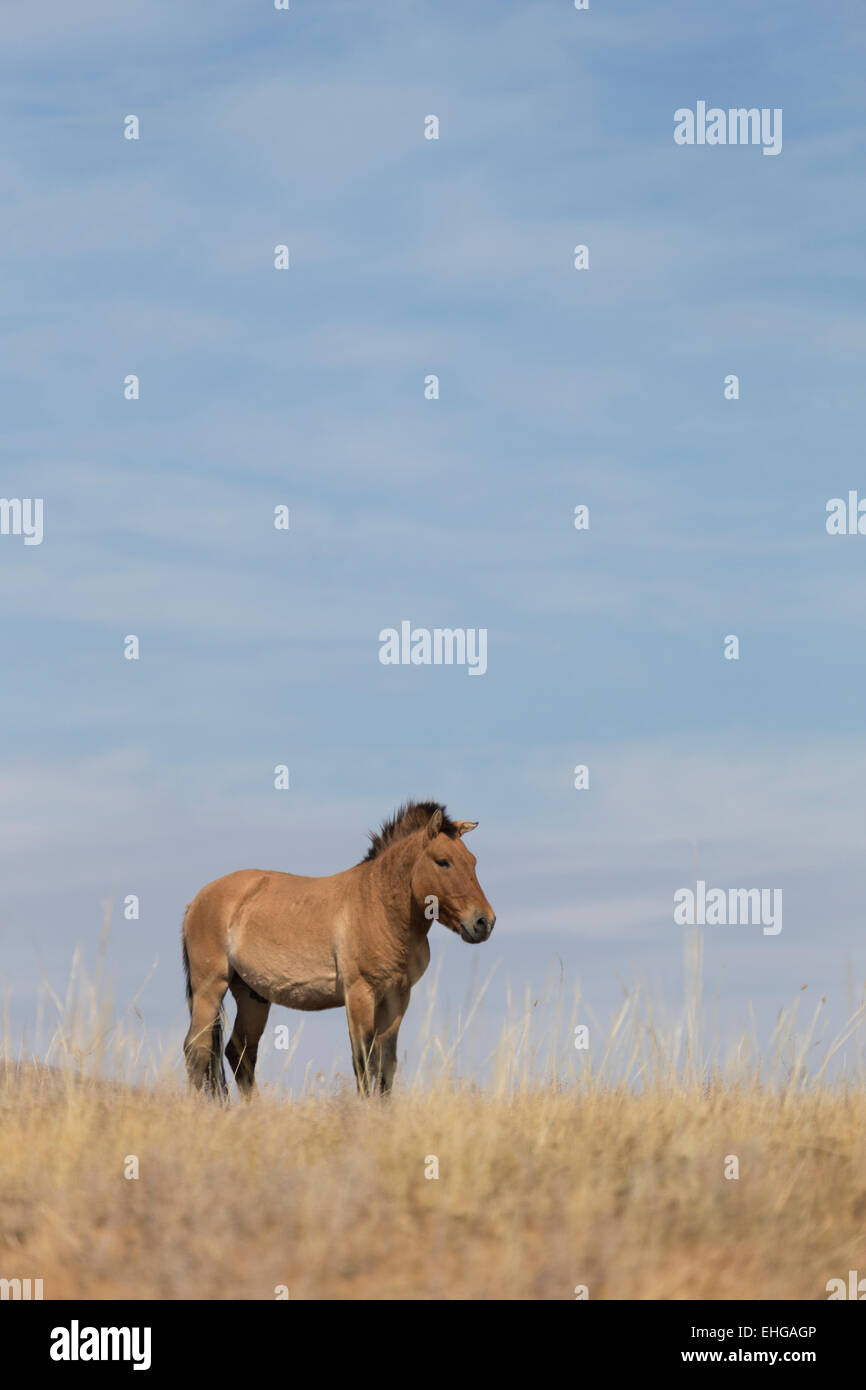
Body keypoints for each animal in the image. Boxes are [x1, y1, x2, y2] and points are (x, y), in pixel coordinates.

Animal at [180, 806, 494, 1095]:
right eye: (443, 862)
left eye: (473, 862)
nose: (484, 922)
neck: (379, 906)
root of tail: (197, 900)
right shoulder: (359, 995)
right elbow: (364, 1062)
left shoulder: (397, 998)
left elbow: (386, 1065)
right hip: (210, 987)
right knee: (197, 1051)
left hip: (252, 995)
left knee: (239, 1052)